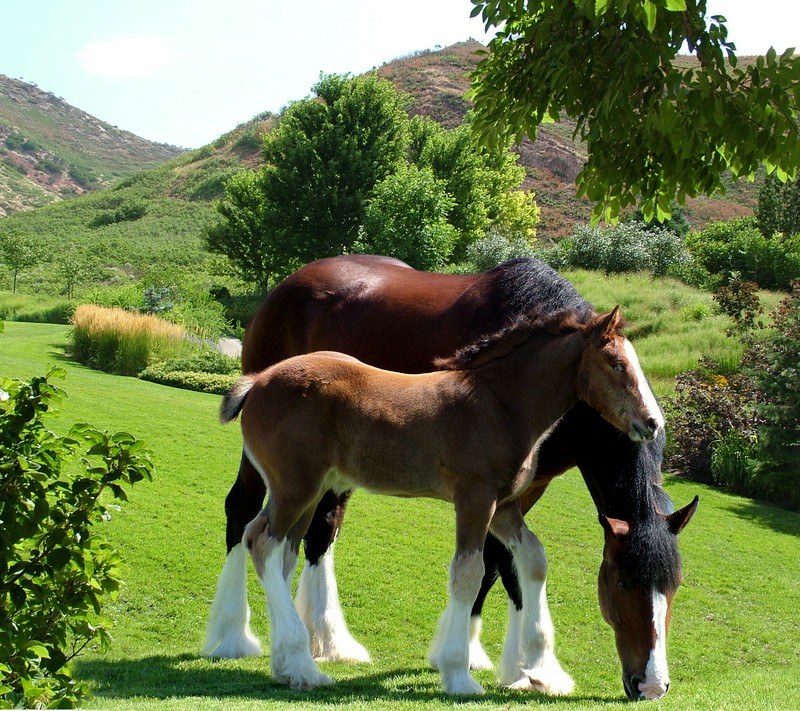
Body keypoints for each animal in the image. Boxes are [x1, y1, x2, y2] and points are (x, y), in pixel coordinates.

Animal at [203, 253, 696, 700]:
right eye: (617, 364)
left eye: (673, 587)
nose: (652, 422)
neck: (498, 402)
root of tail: (257, 381)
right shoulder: (475, 499)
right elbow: (470, 571)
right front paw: (461, 673)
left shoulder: (506, 504)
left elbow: (530, 559)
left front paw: (537, 669)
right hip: (294, 486)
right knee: (258, 537)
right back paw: (273, 653)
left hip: (308, 490)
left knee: (282, 548)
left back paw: (291, 661)